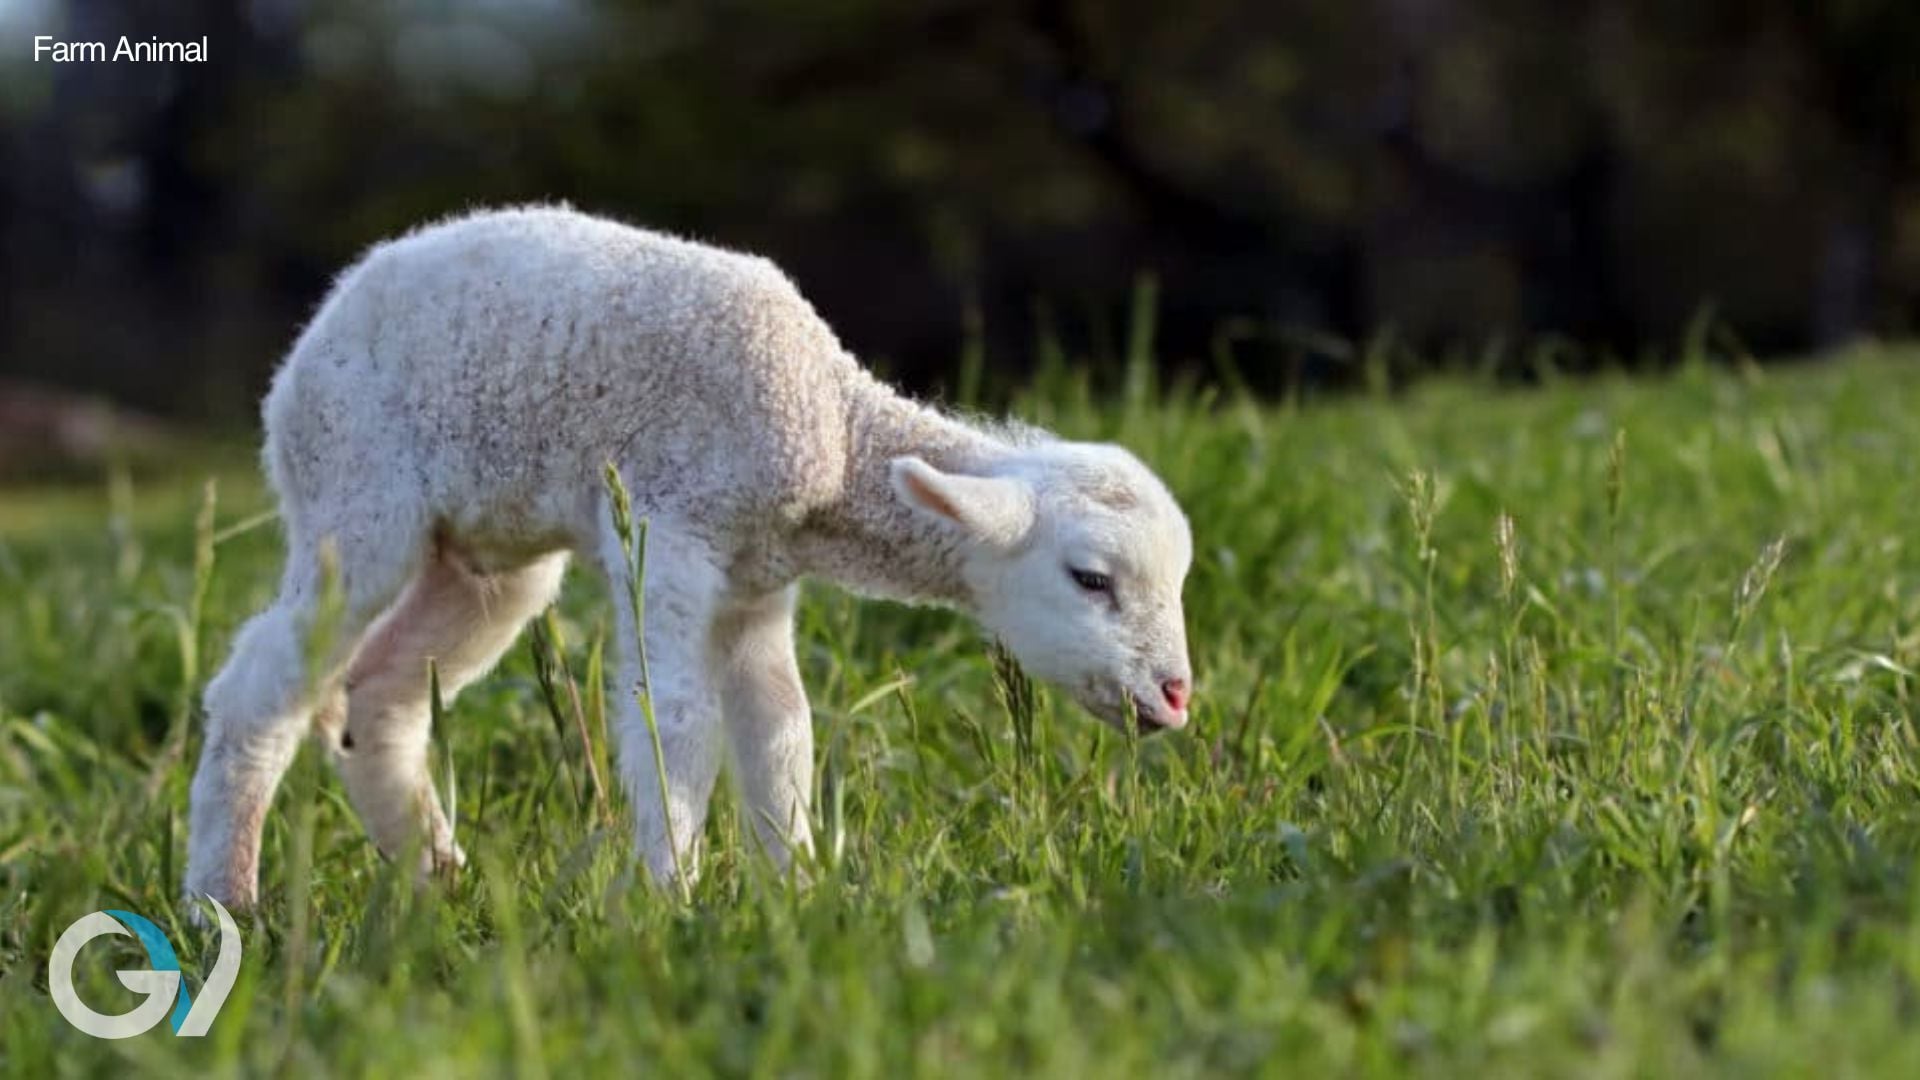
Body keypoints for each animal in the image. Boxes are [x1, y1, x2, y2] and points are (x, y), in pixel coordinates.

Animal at [184, 205, 1194, 908]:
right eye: (1091, 580)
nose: (1176, 696)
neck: (831, 434)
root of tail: (317, 329)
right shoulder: (668, 529)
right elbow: (675, 720)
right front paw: (671, 899)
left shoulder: (754, 582)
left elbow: (781, 729)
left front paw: (795, 891)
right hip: (353, 495)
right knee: (260, 687)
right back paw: (223, 906)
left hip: (485, 560)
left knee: (383, 693)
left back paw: (436, 878)